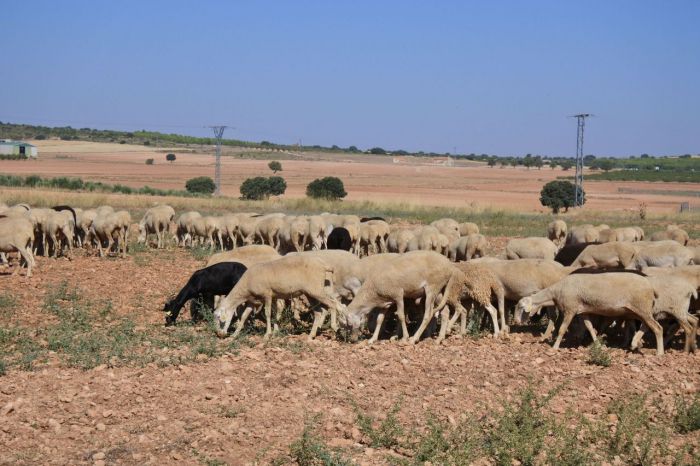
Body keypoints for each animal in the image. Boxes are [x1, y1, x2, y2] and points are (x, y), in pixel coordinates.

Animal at [213, 255, 344, 338]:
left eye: (219, 318)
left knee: (333, 304)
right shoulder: (252, 301)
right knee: (319, 312)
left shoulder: (267, 294)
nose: (219, 334)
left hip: (316, 290)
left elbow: (268, 314)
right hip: (311, 293)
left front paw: (268, 334)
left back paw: (334, 327)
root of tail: (324, 265)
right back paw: (311, 335)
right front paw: (235, 335)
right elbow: (244, 316)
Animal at [516, 274, 660, 354]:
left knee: (657, 328)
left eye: (520, 307)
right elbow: (590, 327)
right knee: (647, 326)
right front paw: (597, 343)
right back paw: (635, 343)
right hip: (638, 310)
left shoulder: (570, 309)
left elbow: (562, 329)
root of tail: (651, 287)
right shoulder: (581, 311)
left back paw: (659, 352)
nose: (516, 321)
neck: (556, 292)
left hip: (642, 308)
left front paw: (555, 347)